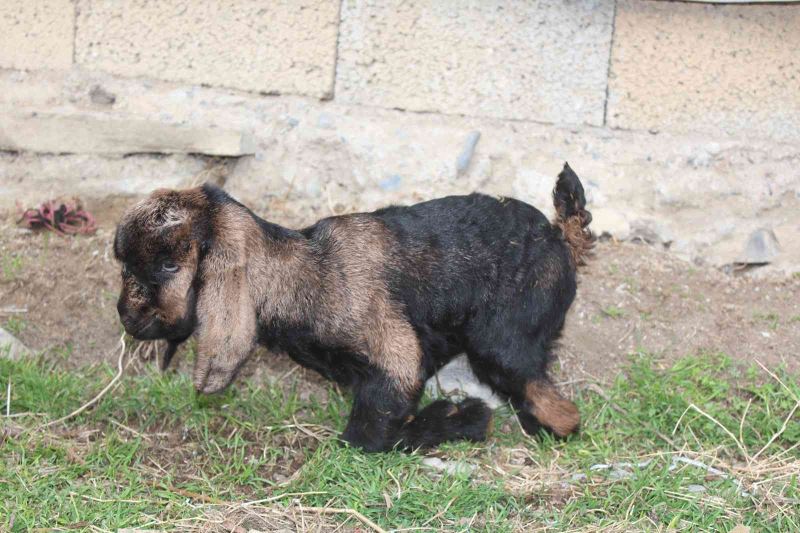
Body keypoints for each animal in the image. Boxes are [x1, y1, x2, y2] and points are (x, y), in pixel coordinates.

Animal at [117, 164, 592, 450]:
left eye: (165, 267)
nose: (124, 315)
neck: (303, 272)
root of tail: (560, 237)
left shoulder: (398, 358)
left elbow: (369, 436)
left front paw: (458, 418)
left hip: (502, 344)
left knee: (564, 411)